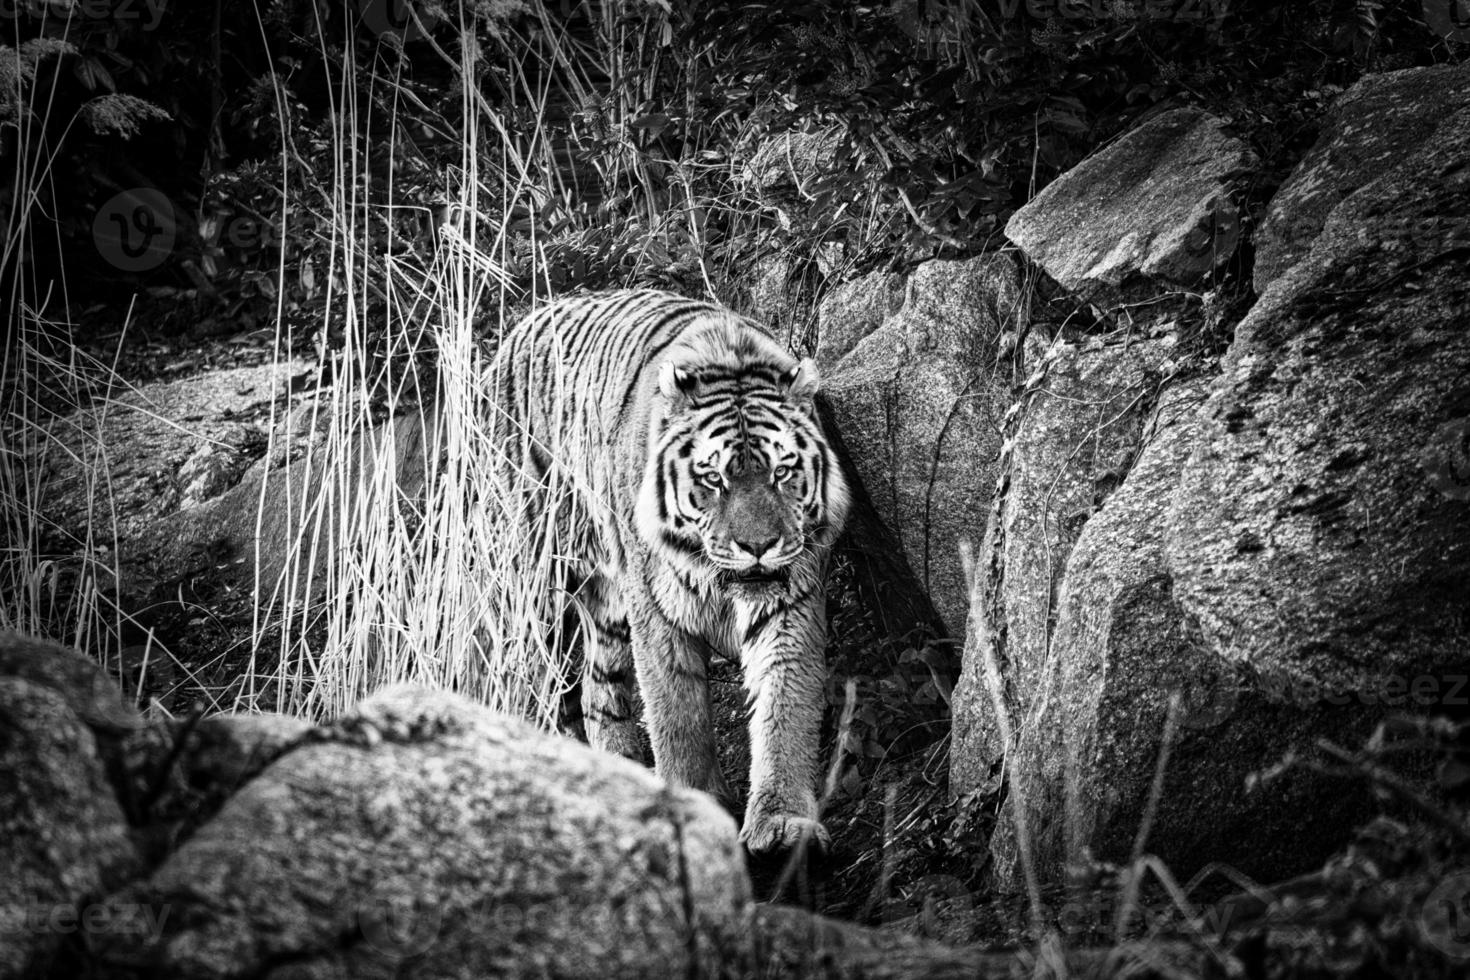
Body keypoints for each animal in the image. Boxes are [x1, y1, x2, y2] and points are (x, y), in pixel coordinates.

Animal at [482, 285, 852, 852]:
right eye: (714, 477)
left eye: (782, 471)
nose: (759, 546)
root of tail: (517, 330)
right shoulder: (657, 612)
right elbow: (678, 718)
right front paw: (695, 807)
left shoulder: (790, 603)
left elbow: (784, 706)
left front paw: (783, 824)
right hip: (536, 582)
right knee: (541, 683)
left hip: (607, 606)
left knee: (598, 692)